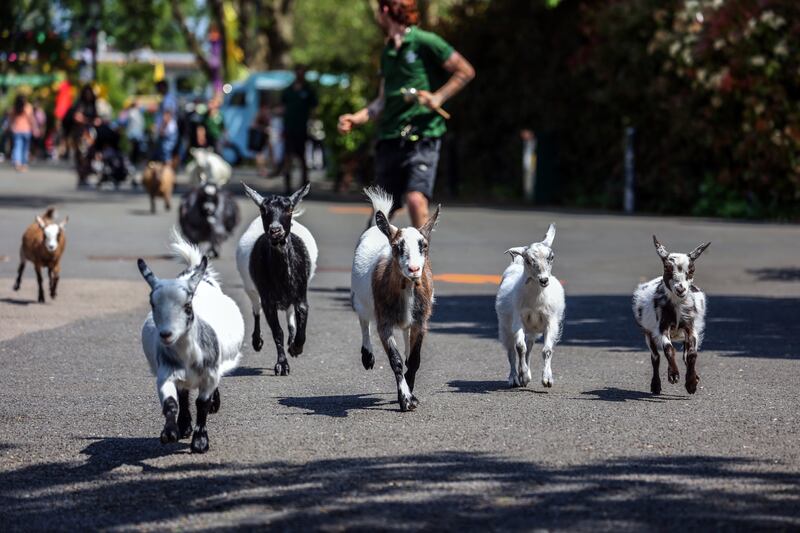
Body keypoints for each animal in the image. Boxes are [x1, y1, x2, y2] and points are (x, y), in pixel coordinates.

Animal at [138, 229, 244, 454]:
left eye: (187, 306)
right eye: (153, 304)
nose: (166, 334)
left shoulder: (210, 375)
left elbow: (202, 404)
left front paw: (200, 442)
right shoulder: (166, 373)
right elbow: (172, 403)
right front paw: (170, 433)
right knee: (183, 393)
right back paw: (184, 425)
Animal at [236, 183, 318, 374]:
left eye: (289, 208)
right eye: (263, 209)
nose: (275, 230)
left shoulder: (301, 296)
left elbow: (301, 327)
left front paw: (295, 348)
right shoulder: (268, 301)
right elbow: (277, 332)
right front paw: (282, 364)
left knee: (289, 314)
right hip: (250, 289)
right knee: (256, 309)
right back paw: (257, 341)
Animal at [348, 187, 438, 412]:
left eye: (424, 246)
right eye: (397, 246)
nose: (414, 269)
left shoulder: (420, 321)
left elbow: (414, 360)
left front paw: (411, 392)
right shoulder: (384, 322)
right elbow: (395, 360)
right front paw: (405, 399)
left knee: (405, 336)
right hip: (360, 300)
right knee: (363, 321)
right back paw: (367, 357)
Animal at [636, 237, 708, 394]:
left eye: (692, 270)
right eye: (667, 268)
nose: (680, 289)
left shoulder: (690, 327)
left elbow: (691, 354)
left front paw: (691, 384)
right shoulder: (662, 327)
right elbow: (668, 349)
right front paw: (674, 375)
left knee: (684, 356)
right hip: (648, 333)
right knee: (656, 357)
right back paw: (656, 385)